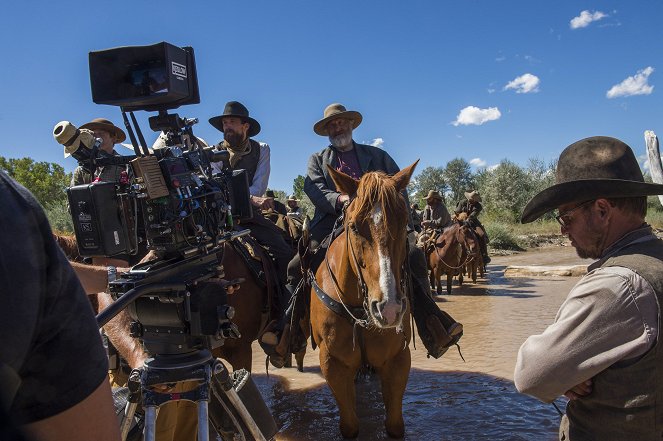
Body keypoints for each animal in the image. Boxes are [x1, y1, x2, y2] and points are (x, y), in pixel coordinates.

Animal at [310, 161, 416, 436]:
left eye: (403, 223)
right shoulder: (333, 365)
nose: (388, 308)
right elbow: (350, 425)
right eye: (354, 226)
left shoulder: (397, 360)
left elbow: (394, 424)